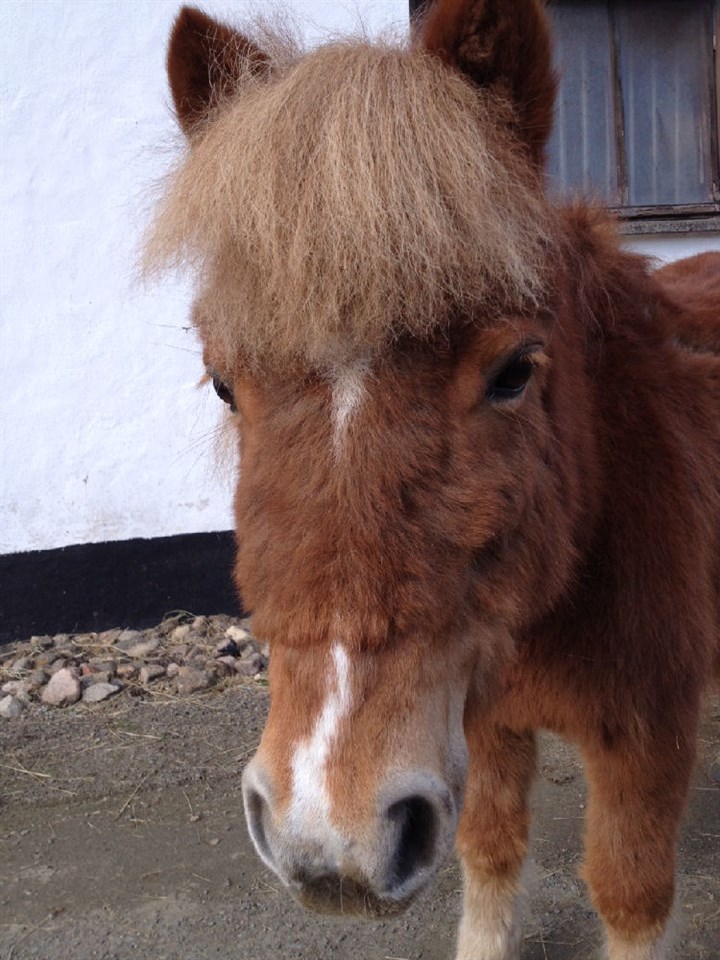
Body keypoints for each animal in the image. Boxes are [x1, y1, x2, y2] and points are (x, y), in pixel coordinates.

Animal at [145, 2, 720, 957]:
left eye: (516, 371)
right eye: (224, 381)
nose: (327, 838)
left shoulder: (646, 741)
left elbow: (629, 892)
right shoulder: (479, 718)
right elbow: (489, 852)